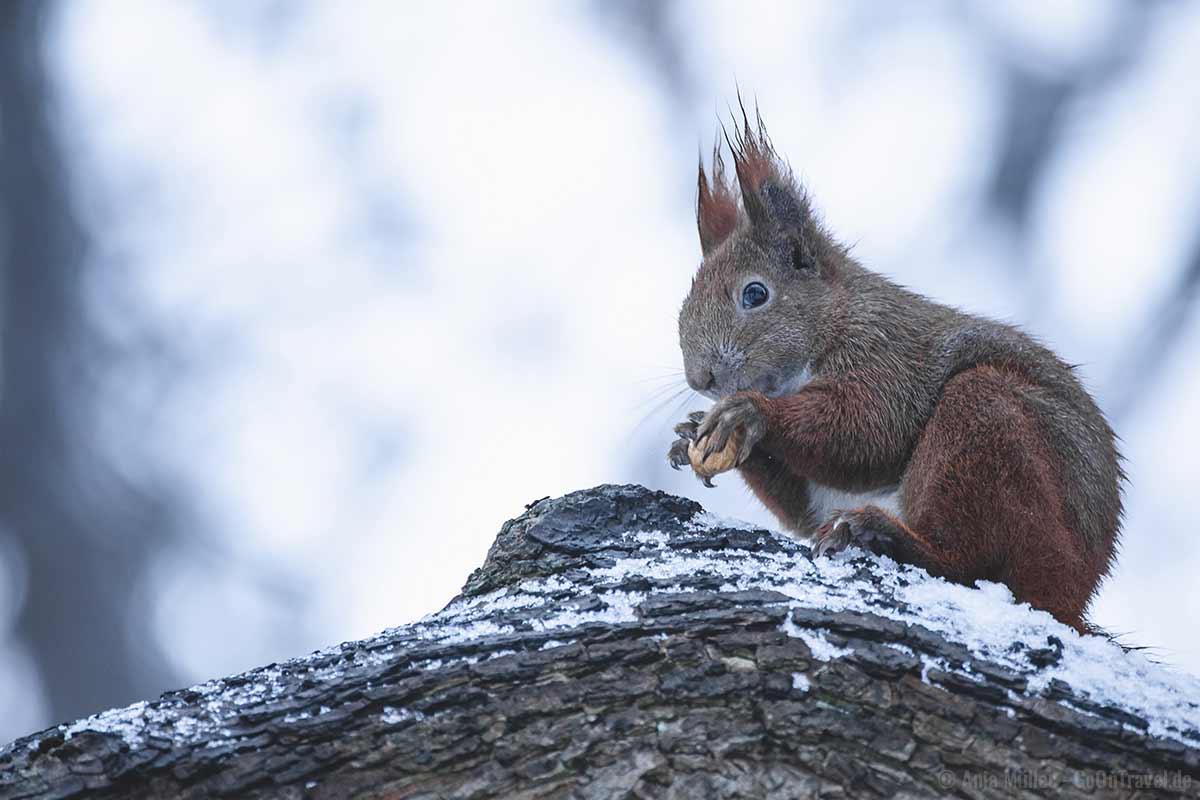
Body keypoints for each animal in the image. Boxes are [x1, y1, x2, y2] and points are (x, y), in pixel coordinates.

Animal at [667, 107, 1123, 633]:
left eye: (755, 294)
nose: (701, 379)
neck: (836, 321)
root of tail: (1076, 594)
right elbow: (800, 504)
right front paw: (693, 431)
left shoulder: (887, 359)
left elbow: (866, 431)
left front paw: (750, 413)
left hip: (990, 427)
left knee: (965, 560)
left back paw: (885, 534)